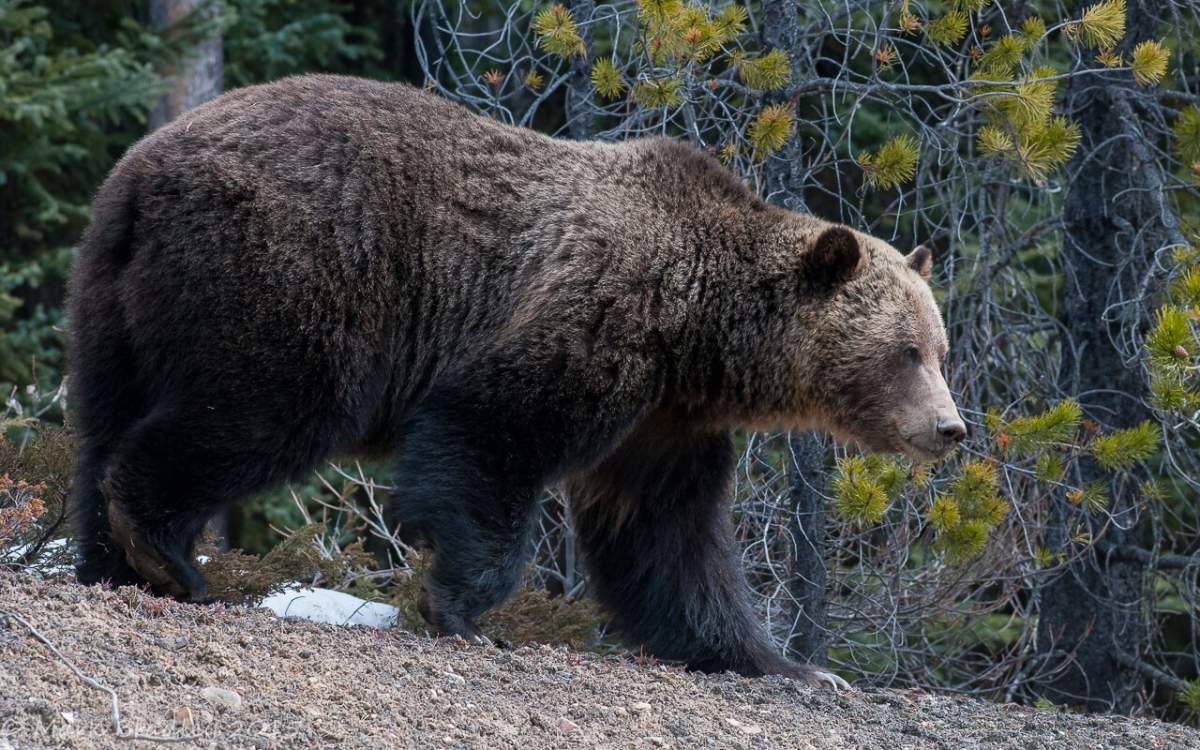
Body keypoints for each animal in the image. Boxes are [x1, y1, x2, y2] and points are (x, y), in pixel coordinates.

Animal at [67, 74, 965, 690]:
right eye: (906, 352)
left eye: (940, 348)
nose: (950, 428)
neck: (698, 334)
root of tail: (143, 173)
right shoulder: (592, 323)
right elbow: (487, 437)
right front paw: (462, 608)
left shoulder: (666, 422)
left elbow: (671, 540)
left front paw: (784, 663)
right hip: (290, 271)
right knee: (258, 409)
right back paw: (167, 553)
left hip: (112, 300)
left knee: (104, 420)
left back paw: (111, 560)